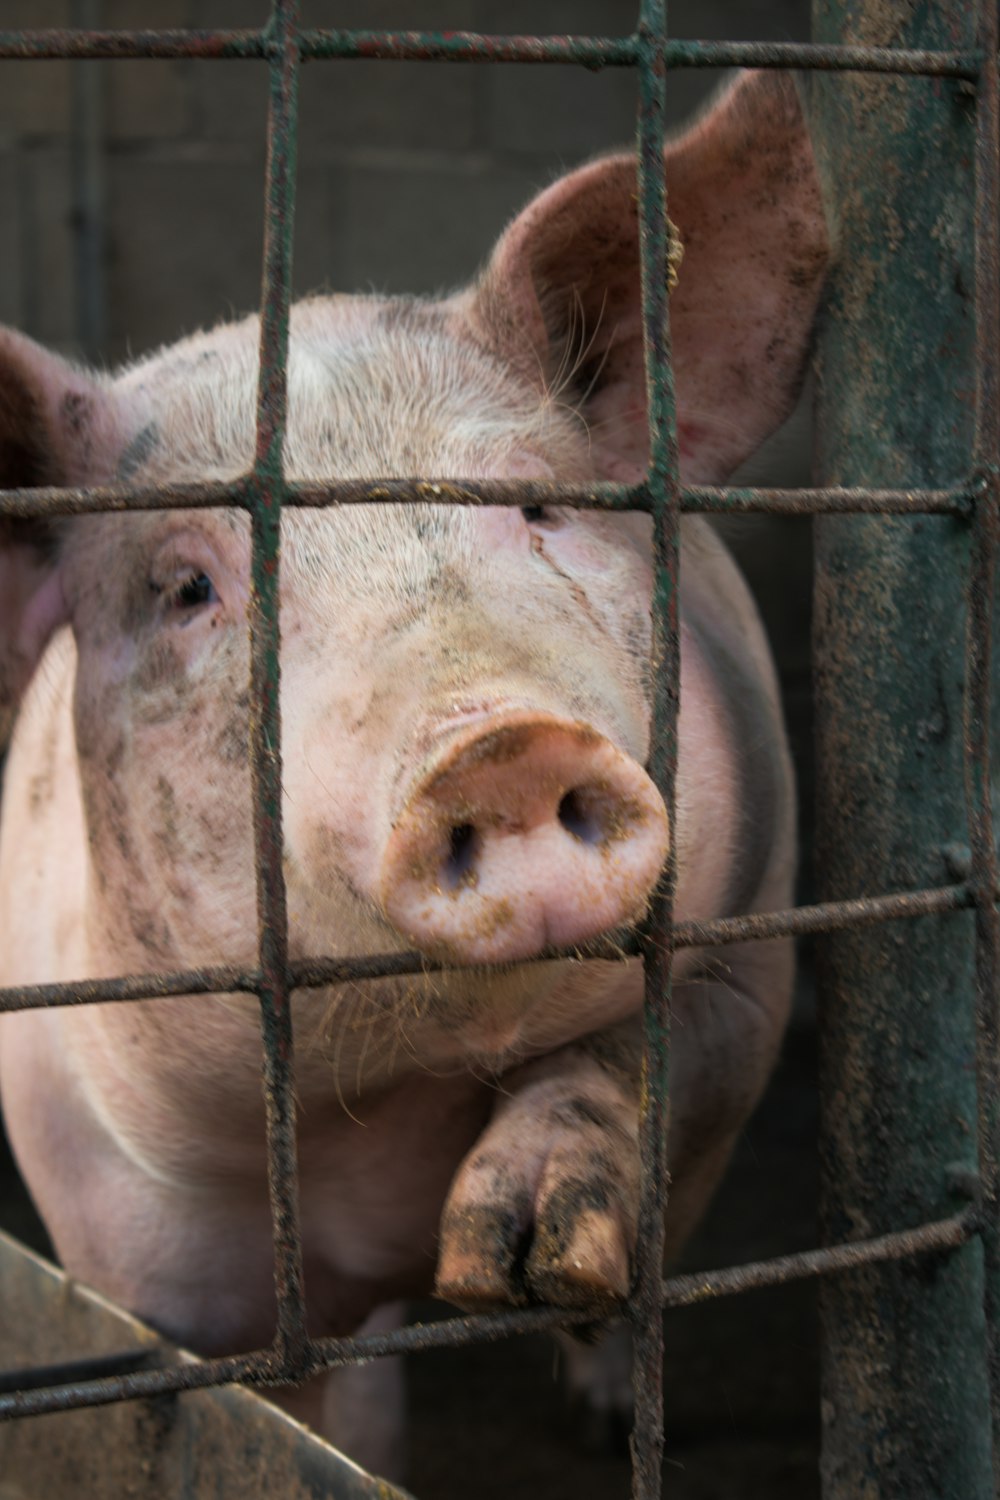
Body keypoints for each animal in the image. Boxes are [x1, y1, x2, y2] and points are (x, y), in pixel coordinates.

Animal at [0, 67, 827, 1476]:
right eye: (184, 587)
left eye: (537, 504)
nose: (497, 745)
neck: (386, 1115)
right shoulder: (111, 1199)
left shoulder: (751, 942)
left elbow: (644, 1058)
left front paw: (523, 1259)